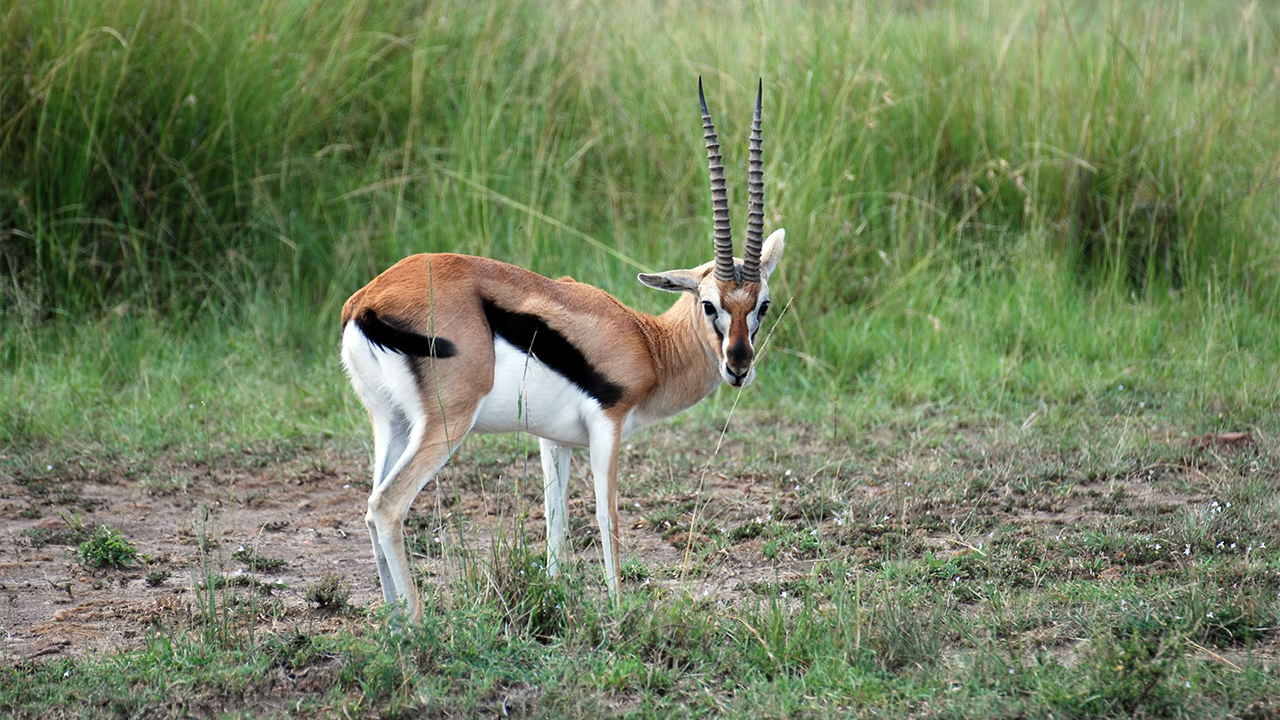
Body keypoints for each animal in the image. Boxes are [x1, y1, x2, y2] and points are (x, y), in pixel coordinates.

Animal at [340, 79, 785, 621]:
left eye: (762, 305)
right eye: (708, 304)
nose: (738, 366)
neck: (649, 342)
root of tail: (368, 299)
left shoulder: (553, 440)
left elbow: (555, 526)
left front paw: (553, 600)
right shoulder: (607, 426)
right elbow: (606, 518)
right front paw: (618, 612)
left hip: (393, 423)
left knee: (370, 506)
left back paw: (393, 623)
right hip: (447, 423)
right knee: (387, 506)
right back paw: (418, 625)